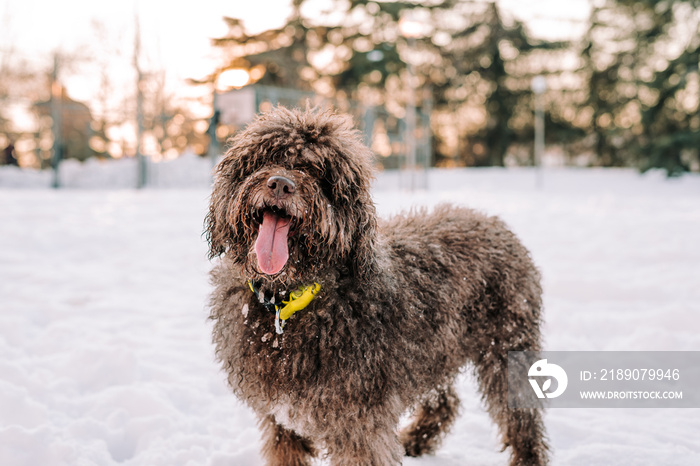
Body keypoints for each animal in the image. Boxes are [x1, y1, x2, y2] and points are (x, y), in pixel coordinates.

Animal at [205, 106, 548, 466]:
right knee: (445, 400)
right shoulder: (280, 422)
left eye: (319, 172)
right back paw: (417, 439)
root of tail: (496, 223)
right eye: (265, 158)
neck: (290, 301)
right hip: (433, 350)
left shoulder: (359, 426)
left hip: (506, 347)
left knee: (521, 417)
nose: (280, 184)